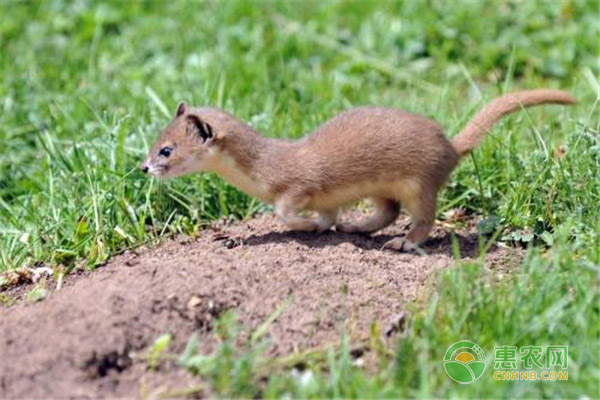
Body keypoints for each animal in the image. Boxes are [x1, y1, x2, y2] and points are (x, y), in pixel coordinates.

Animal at [142, 91, 576, 250]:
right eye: (155, 139)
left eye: (166, 149)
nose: (144, 166)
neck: (263, 166)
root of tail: (450, 146)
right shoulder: (326, 199)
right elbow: (326, 214)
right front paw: (322, 226)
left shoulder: (299, 185)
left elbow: (284, 210)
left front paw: (302, 225)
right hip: (385, 188)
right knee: (388, 211)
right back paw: (358, 226)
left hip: (419, 182)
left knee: (422, 218)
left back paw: (403, 243)